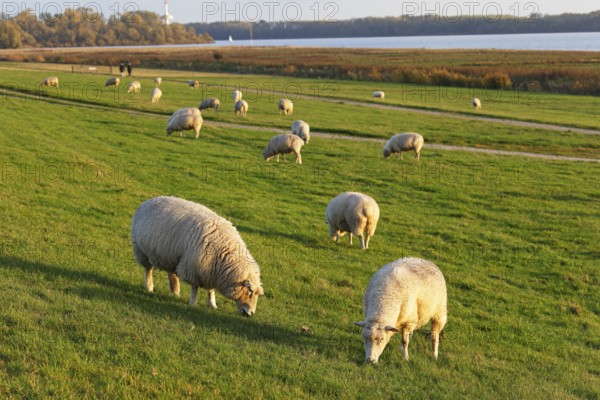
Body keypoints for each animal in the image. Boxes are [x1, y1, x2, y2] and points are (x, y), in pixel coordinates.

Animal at [131, 196, 264, 316]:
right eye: (250, 291)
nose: (250, 313)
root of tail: (148, 201)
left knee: (172, 273)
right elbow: (195, 288)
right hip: (141, 251)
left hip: (171, 256)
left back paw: (175, 291)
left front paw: (212, 304)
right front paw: (193, 304)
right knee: (148, 270)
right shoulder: (194, 269)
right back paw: (149, 288)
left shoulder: (211, 271)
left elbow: (211, 290)